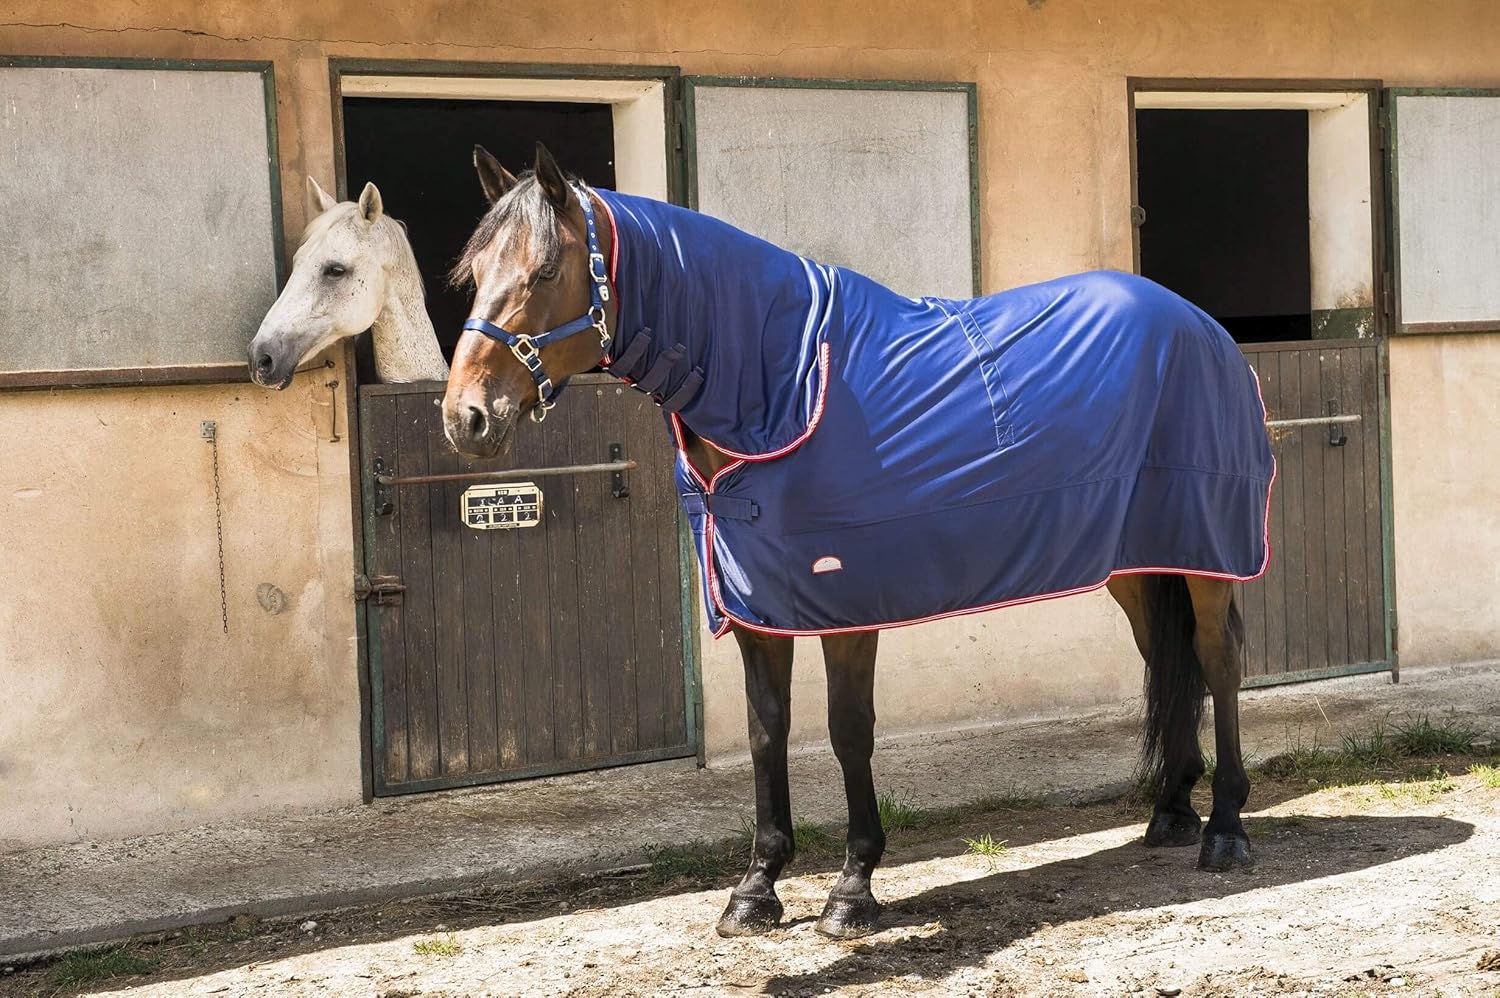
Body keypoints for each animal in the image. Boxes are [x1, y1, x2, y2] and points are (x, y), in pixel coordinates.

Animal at [441, 143, 1273, 940]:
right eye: (474, 274)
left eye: (545, 270)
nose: (465, 419)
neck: (783, 385)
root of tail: (1196, 321)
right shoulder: (756, 605)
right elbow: (766, 732)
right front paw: (756, 889)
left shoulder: (846, 602)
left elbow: (848, 733)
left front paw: (852, 889)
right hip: (1139, 556)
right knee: (1165, 657)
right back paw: (1171, 809)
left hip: (1210, 548)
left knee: (1216, 658)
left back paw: (1225, 828)